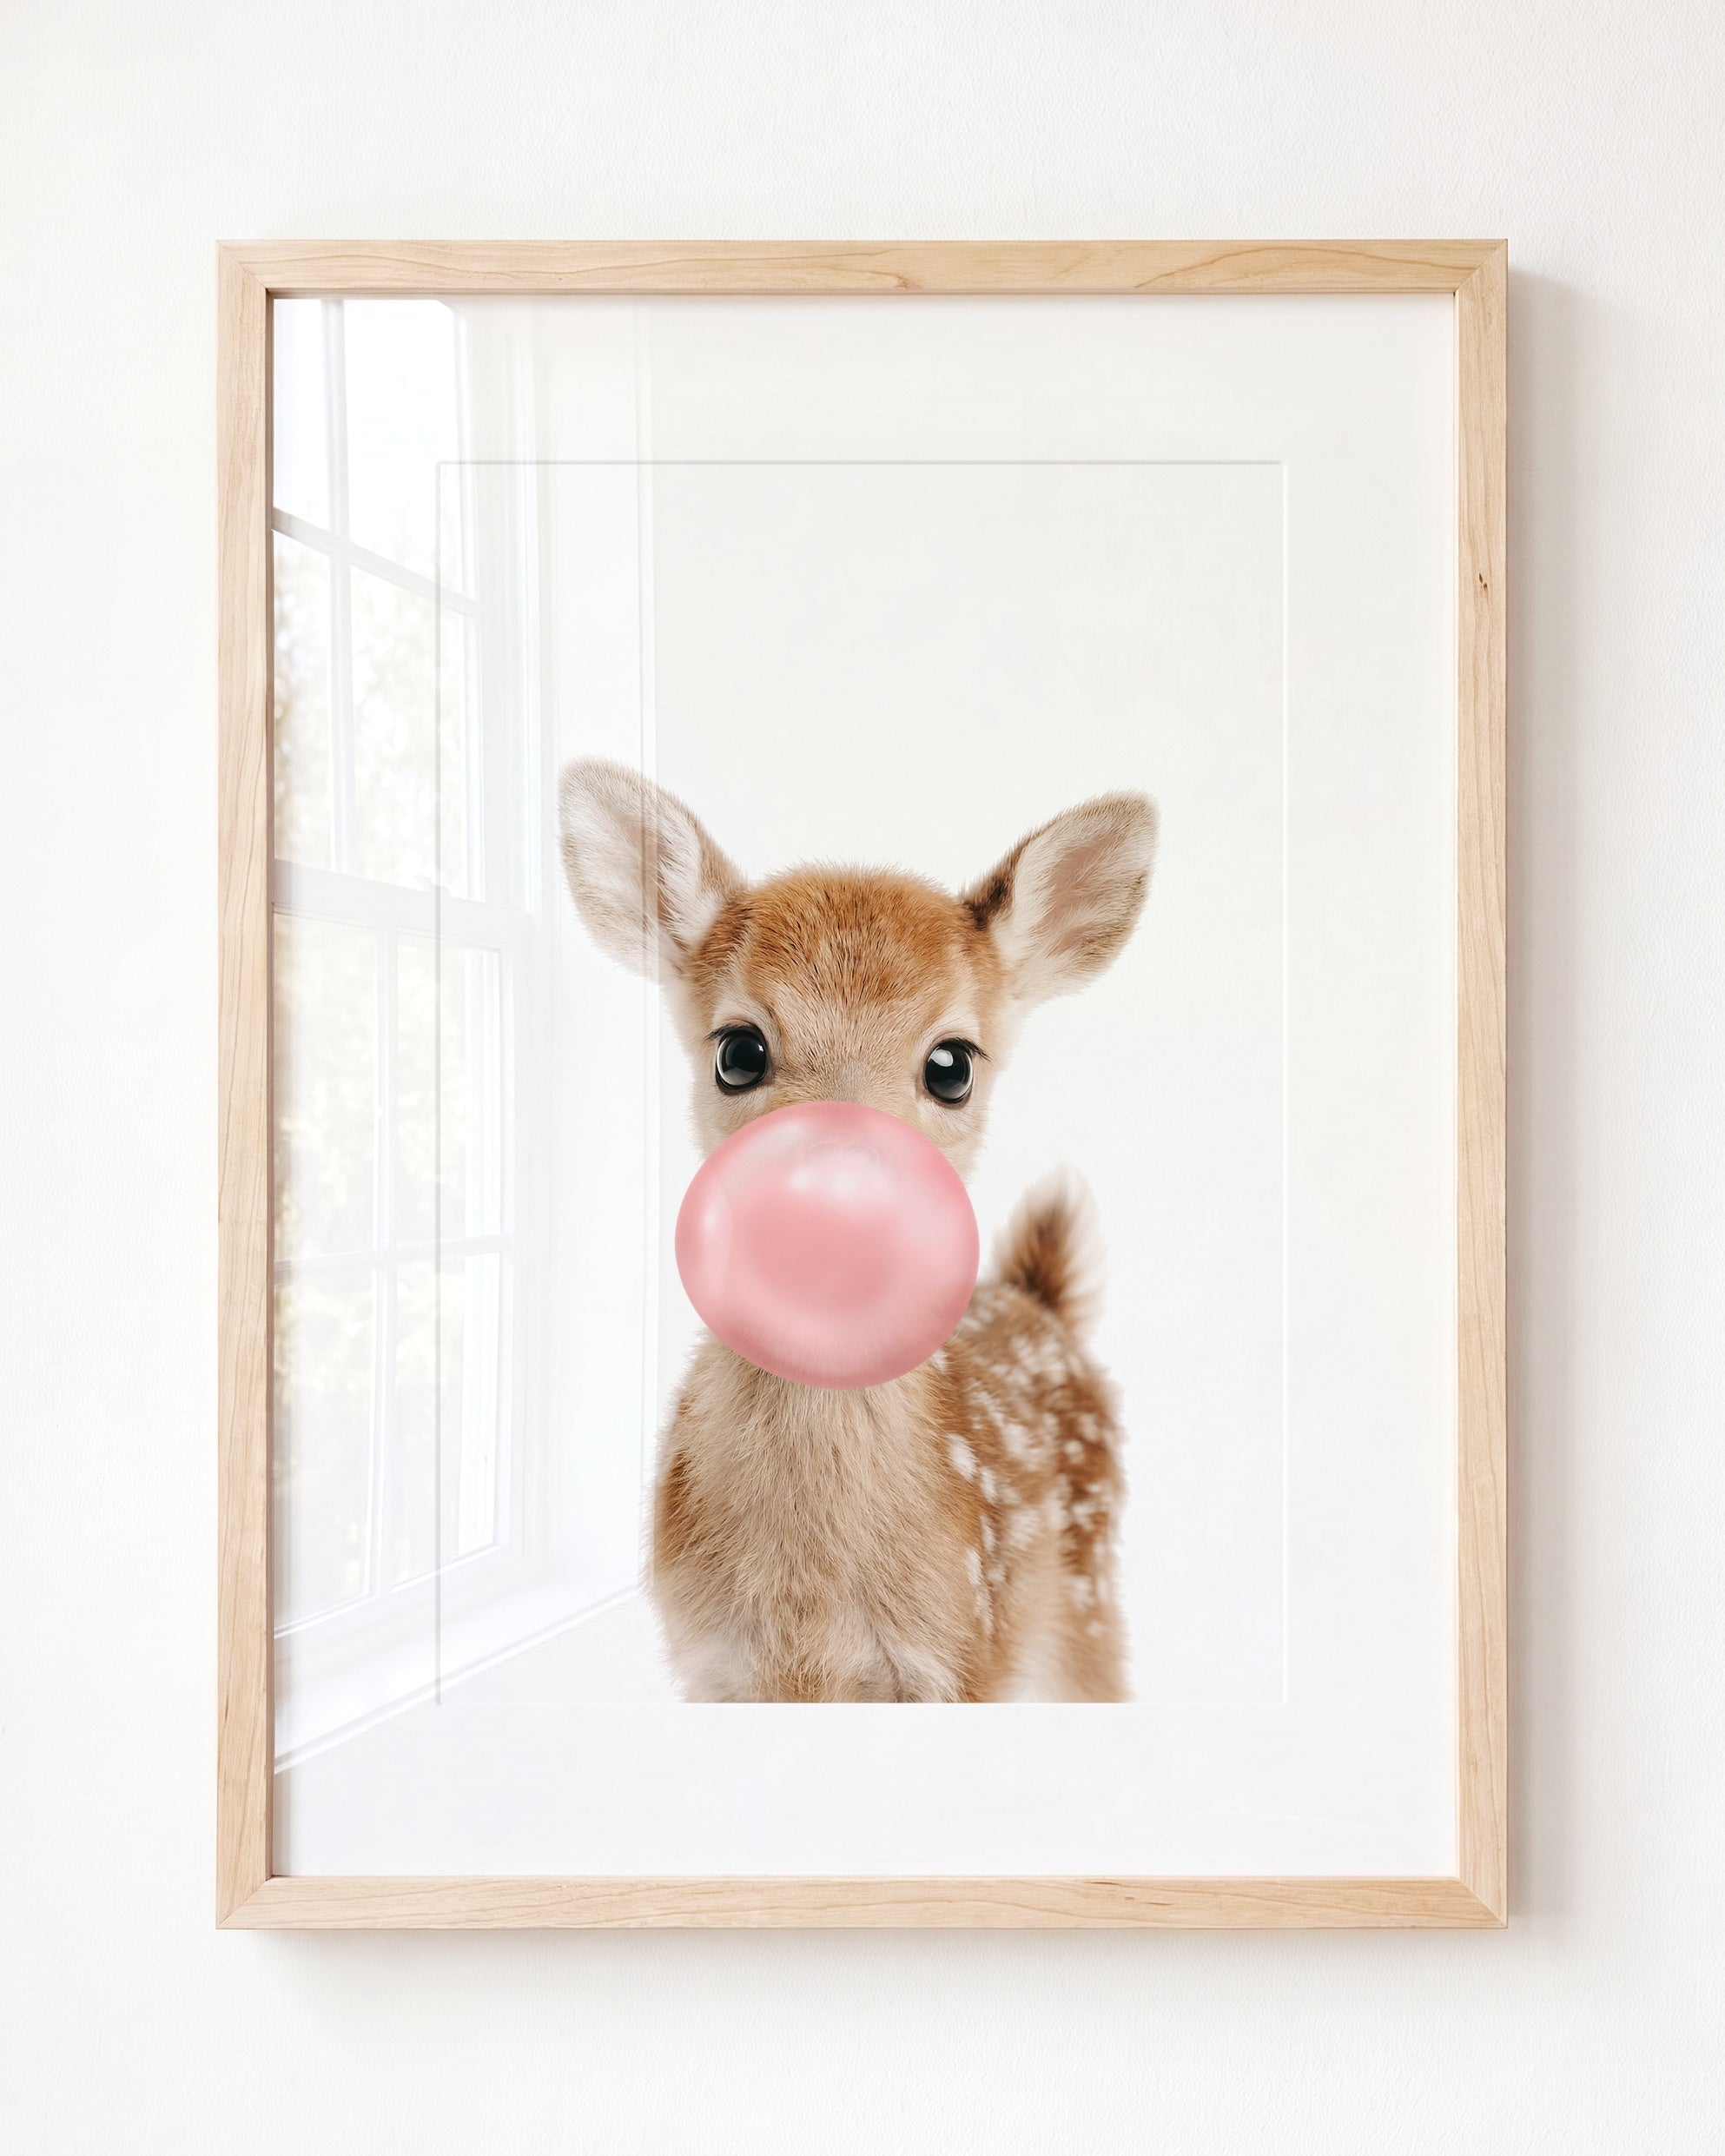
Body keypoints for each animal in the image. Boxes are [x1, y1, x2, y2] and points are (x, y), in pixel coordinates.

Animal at [558, 758, 1157, 1701]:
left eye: (952, 1065)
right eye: (738, 1051)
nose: (839, 1195)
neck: (811, 1612)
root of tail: (1042, 1302)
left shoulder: (962, 1655)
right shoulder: (712, 1665)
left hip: (1086, 1604)